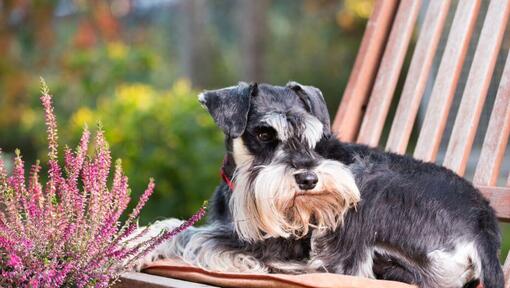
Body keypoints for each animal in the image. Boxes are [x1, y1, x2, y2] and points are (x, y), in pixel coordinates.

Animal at [136, 81, 506, 288]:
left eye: (315, 135)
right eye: (263, 133)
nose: (309, 179)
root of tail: (484, 226)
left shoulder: (277, 243)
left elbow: (192, 236)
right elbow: (181, 227)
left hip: (369, 192)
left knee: (347, 269)